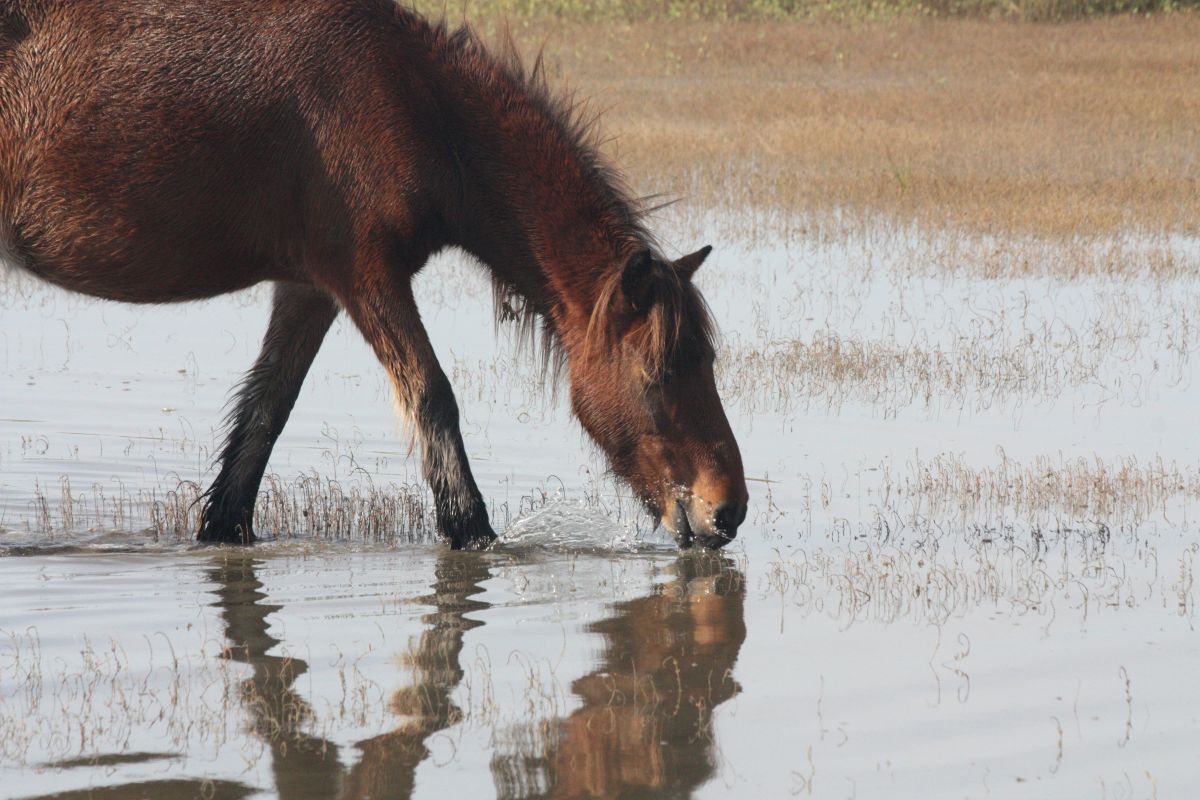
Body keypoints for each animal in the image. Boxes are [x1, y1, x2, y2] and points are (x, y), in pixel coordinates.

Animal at [0, 0, 748, 550]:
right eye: (659, 373)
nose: (730, 510)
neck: (410, 98)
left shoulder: (309, 289)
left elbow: (264, 415)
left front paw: (224, 532)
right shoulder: (365, 275)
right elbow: (432, 397)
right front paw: (474, 535)